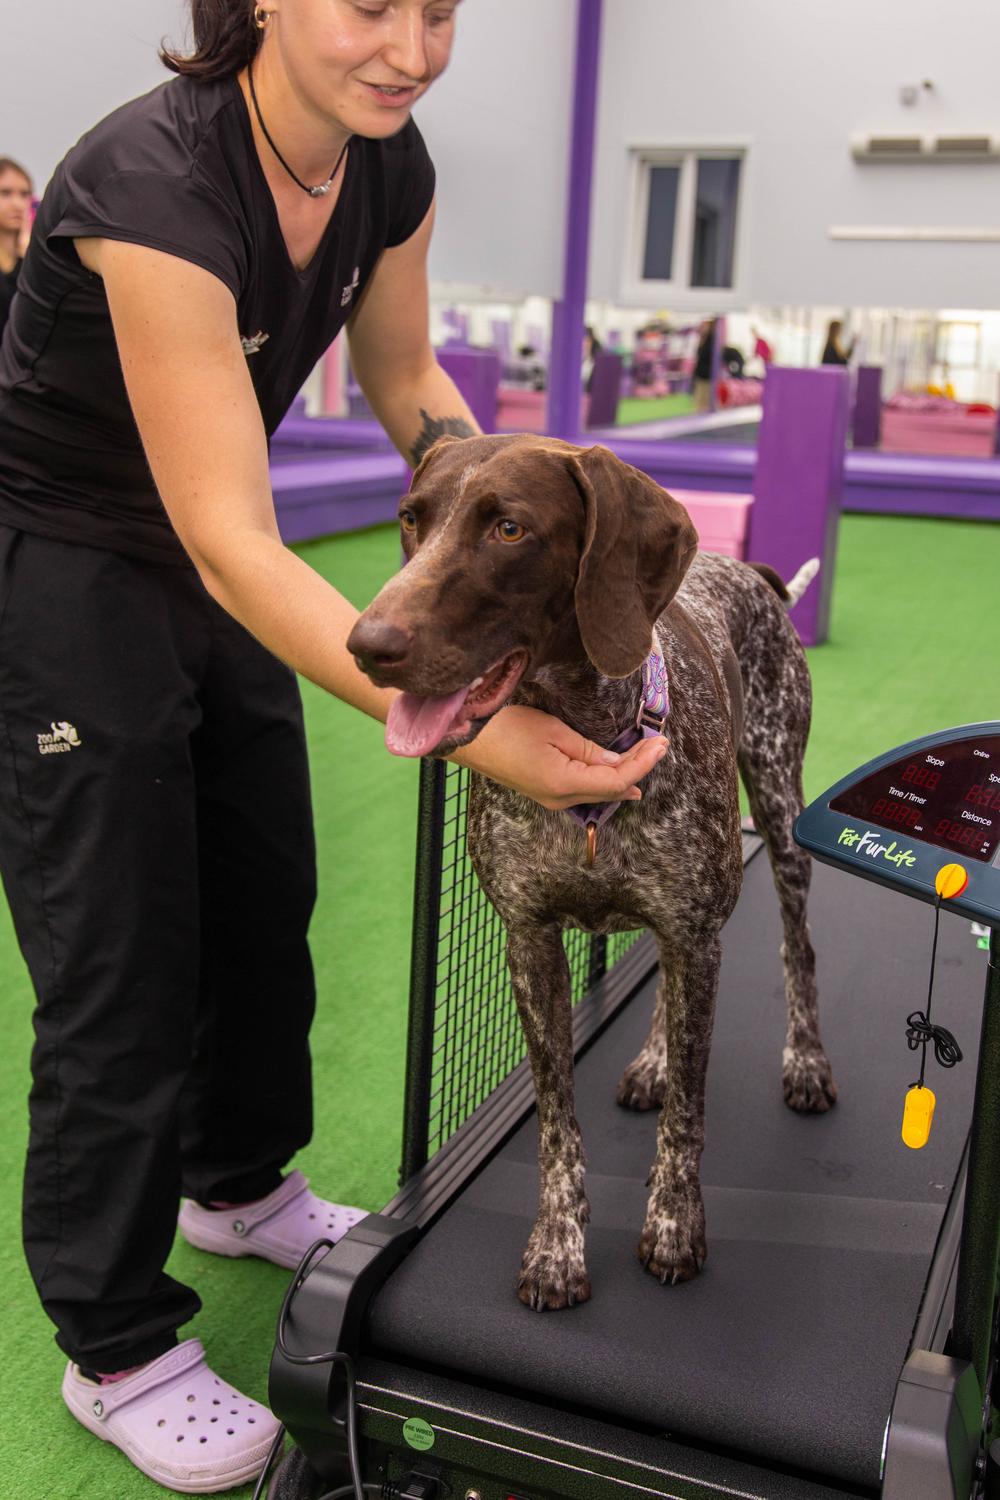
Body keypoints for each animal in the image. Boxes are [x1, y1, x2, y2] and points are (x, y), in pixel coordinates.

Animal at [344, 435, 839, 1314]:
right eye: (410, 518)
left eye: (508, 527)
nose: (367, 645)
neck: (586, 731)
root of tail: (748, 572)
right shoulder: (532, 944)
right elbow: (556, 1124)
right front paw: (557, 1247)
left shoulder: (694, 928)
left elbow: (689, 1115)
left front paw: (674, 1227)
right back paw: (651, 1062)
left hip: (781, 813)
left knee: (796, 946)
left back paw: (805, 1062)